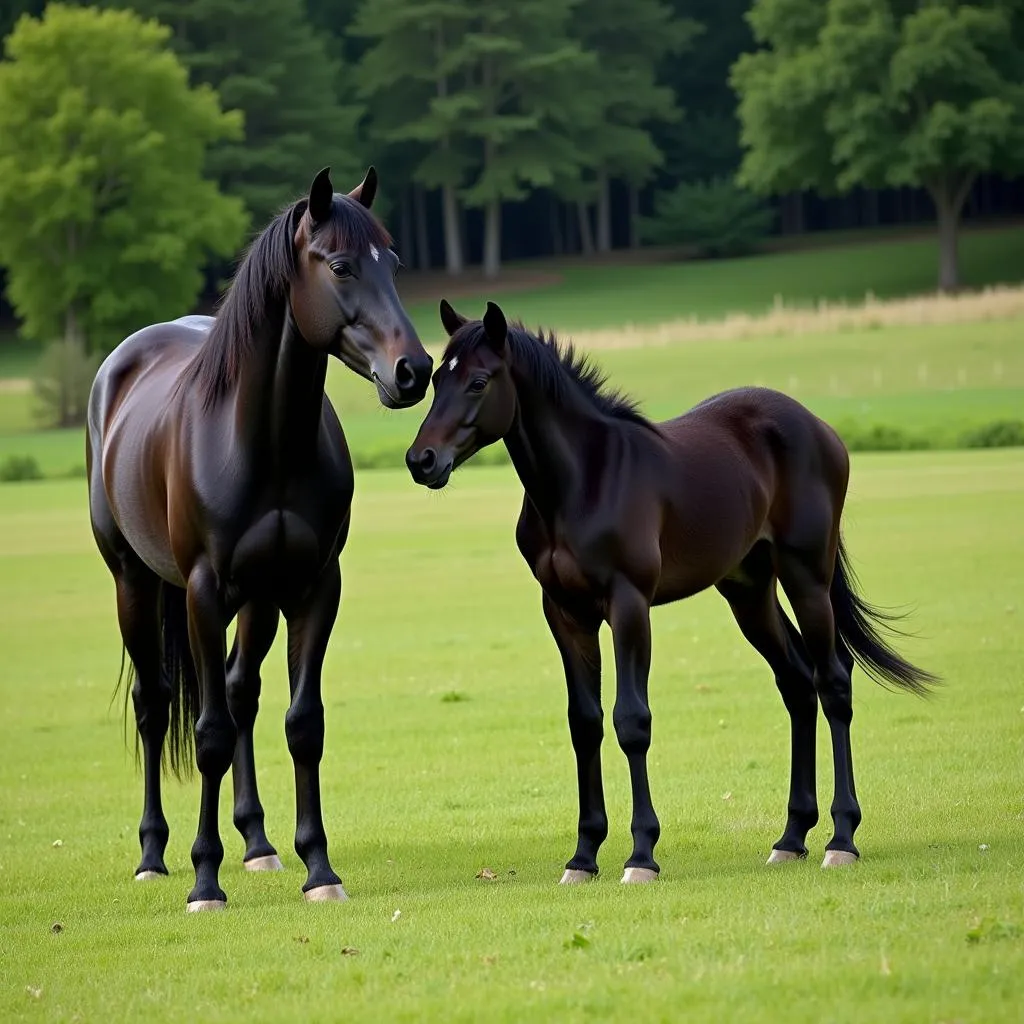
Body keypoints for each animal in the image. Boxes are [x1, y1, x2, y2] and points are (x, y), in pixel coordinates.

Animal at [82, 167, 428, 913]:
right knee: (155, 705)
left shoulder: (313, 587)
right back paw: (153, 855)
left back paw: (259, 843)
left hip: (259, 600)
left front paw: (318, 867)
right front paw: (204, 880)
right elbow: (208, 734)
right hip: (134, 583)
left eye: (392, 264)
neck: (264, 443)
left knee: (242, 693)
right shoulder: (205, 593)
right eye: (340, 265)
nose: (413, 371)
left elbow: (302, 723)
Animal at [405, 299, 937, 884]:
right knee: (797, 683)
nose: (421, 460)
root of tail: (818, 427)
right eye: (436, 379)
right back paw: (791, 837)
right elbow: (585, 722)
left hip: (807, 578)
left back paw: (841, 839)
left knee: (833, 682)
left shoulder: (629, 605)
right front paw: (583, 856)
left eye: (479, 381)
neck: (583, 482)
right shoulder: (565, 612)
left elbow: (631, 721)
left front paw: (641, 855)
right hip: (748, 591)